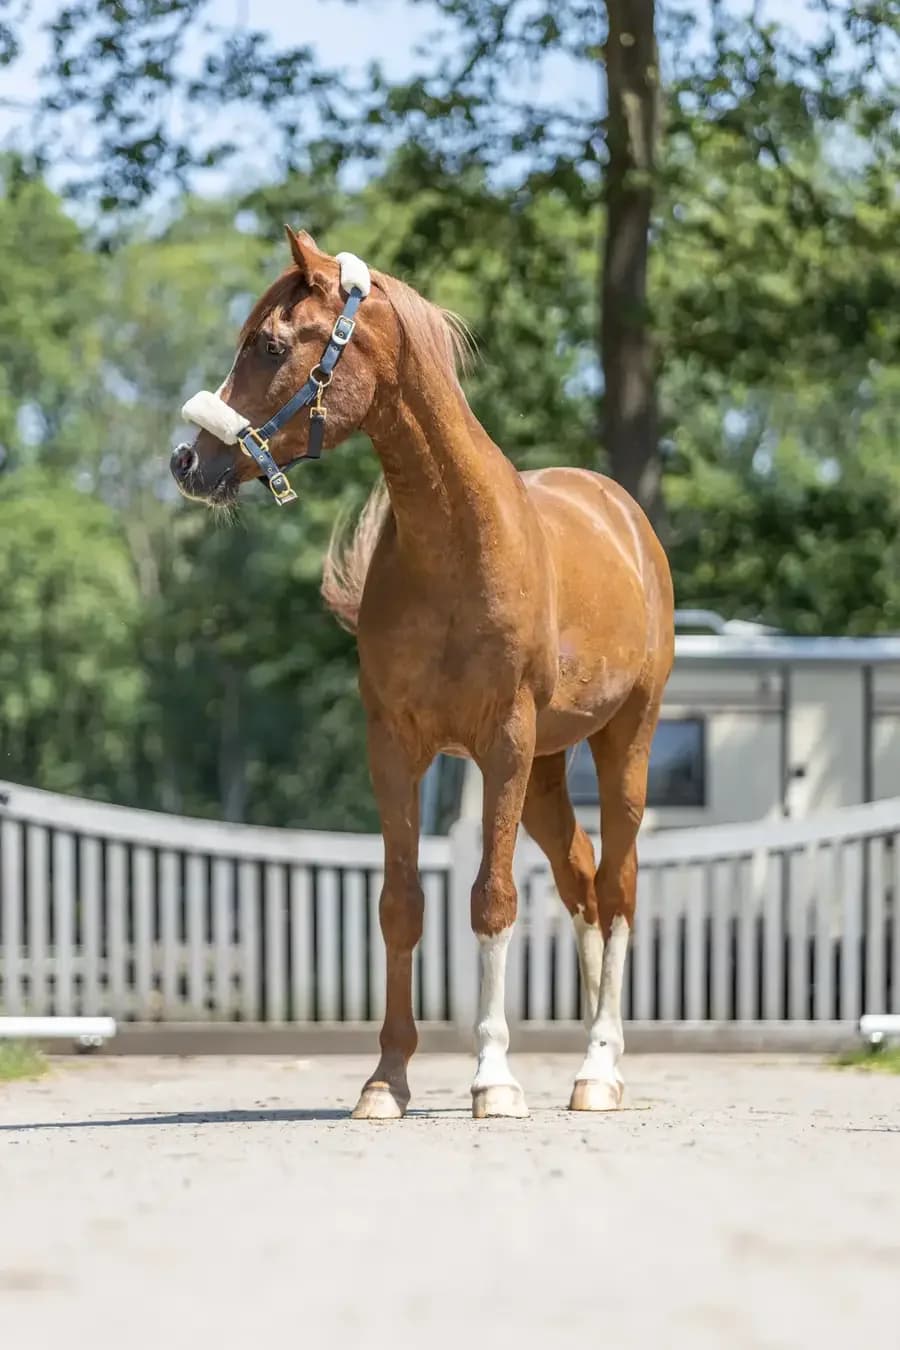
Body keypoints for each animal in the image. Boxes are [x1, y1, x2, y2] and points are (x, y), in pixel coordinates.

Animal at [172, 228, 674, 1120]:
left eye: (270, 345)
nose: (186, 461)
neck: (457, 541)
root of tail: (625, 516)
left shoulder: (503, 744)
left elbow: (492, 900)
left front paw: (494, 1078)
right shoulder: (395, 747)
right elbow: (400, 906)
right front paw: (386, 1080)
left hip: (624, 746)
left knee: (617, 889)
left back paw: (599, 1072)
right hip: (548, 773)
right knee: (581, 880)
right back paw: (593, 1055)